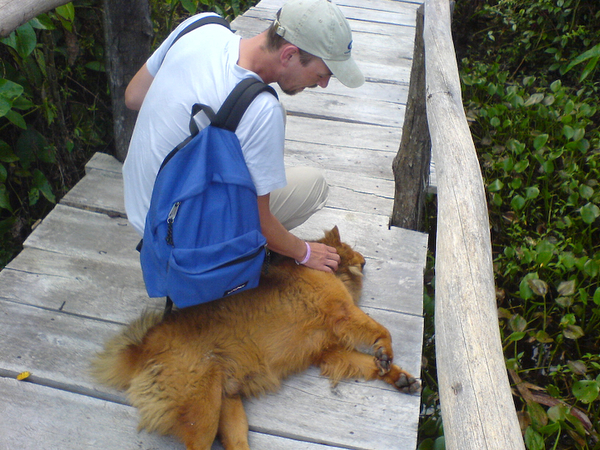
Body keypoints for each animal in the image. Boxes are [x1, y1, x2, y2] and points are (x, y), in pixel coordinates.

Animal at [94, 229, 420, 450]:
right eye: (349, 248)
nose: (365, 261)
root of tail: (141, 347)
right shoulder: (342, 312)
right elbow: (381, 331)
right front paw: (385, 350)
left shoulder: (328, 352)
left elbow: (367, 363)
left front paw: (396, 375)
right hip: (202, 413)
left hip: (229, 407)